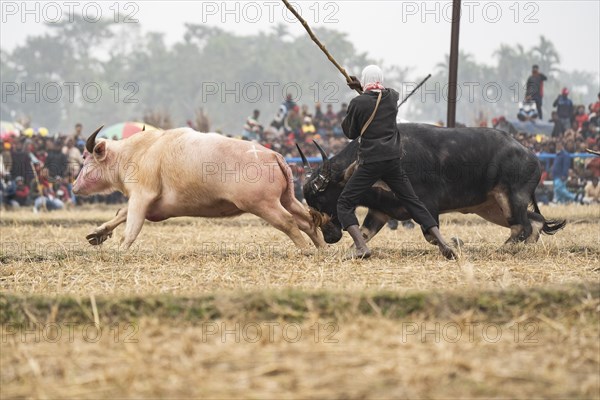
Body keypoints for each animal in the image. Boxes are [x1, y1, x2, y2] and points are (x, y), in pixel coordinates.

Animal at [300, 123, 568, 245]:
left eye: (322, 197)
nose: (329, 236)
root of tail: (531, 156)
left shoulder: (427, 205)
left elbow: (431, 234)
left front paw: (456, 243)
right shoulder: (380, 211)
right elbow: (365, 234)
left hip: (511, 199)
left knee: (522, 226)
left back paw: (505, 248)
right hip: (492, 207)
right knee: (534, 222)